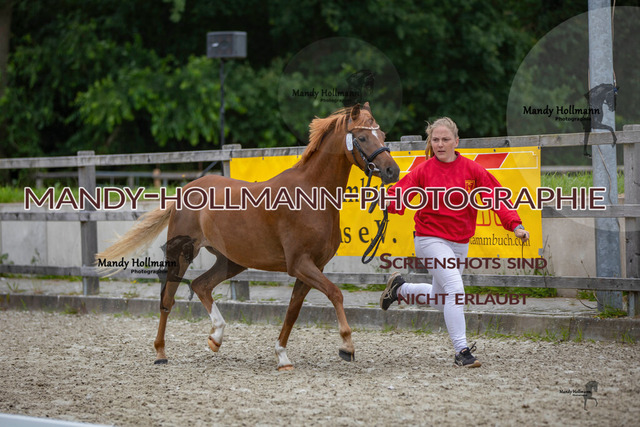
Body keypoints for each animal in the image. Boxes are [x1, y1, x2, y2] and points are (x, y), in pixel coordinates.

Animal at [96, 102, 400, 370]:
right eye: (362, 137)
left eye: (383, 135)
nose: (392, 170)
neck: (311, 196)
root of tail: (185, 189)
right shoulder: (300, 264)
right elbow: (335, 293)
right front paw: (347, 347)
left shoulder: (313, 267)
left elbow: (293, 311)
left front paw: (282, 357)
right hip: (182, 254)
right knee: (168, 299)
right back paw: (161, 353)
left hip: (231, 261)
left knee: (201, 285)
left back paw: (216, 338)